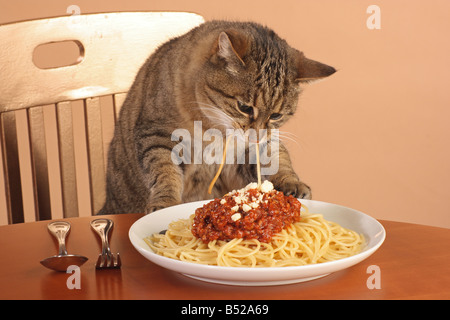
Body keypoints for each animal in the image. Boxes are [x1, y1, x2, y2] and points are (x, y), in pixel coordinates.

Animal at [100, 20, 336, 215]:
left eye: (276, 115)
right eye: (244, 107)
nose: (256, 135)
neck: (213, 130)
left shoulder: (251, 149)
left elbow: (277, 159)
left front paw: (291, 182)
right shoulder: (156, 133)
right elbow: (164, 170)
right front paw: (166, 202)